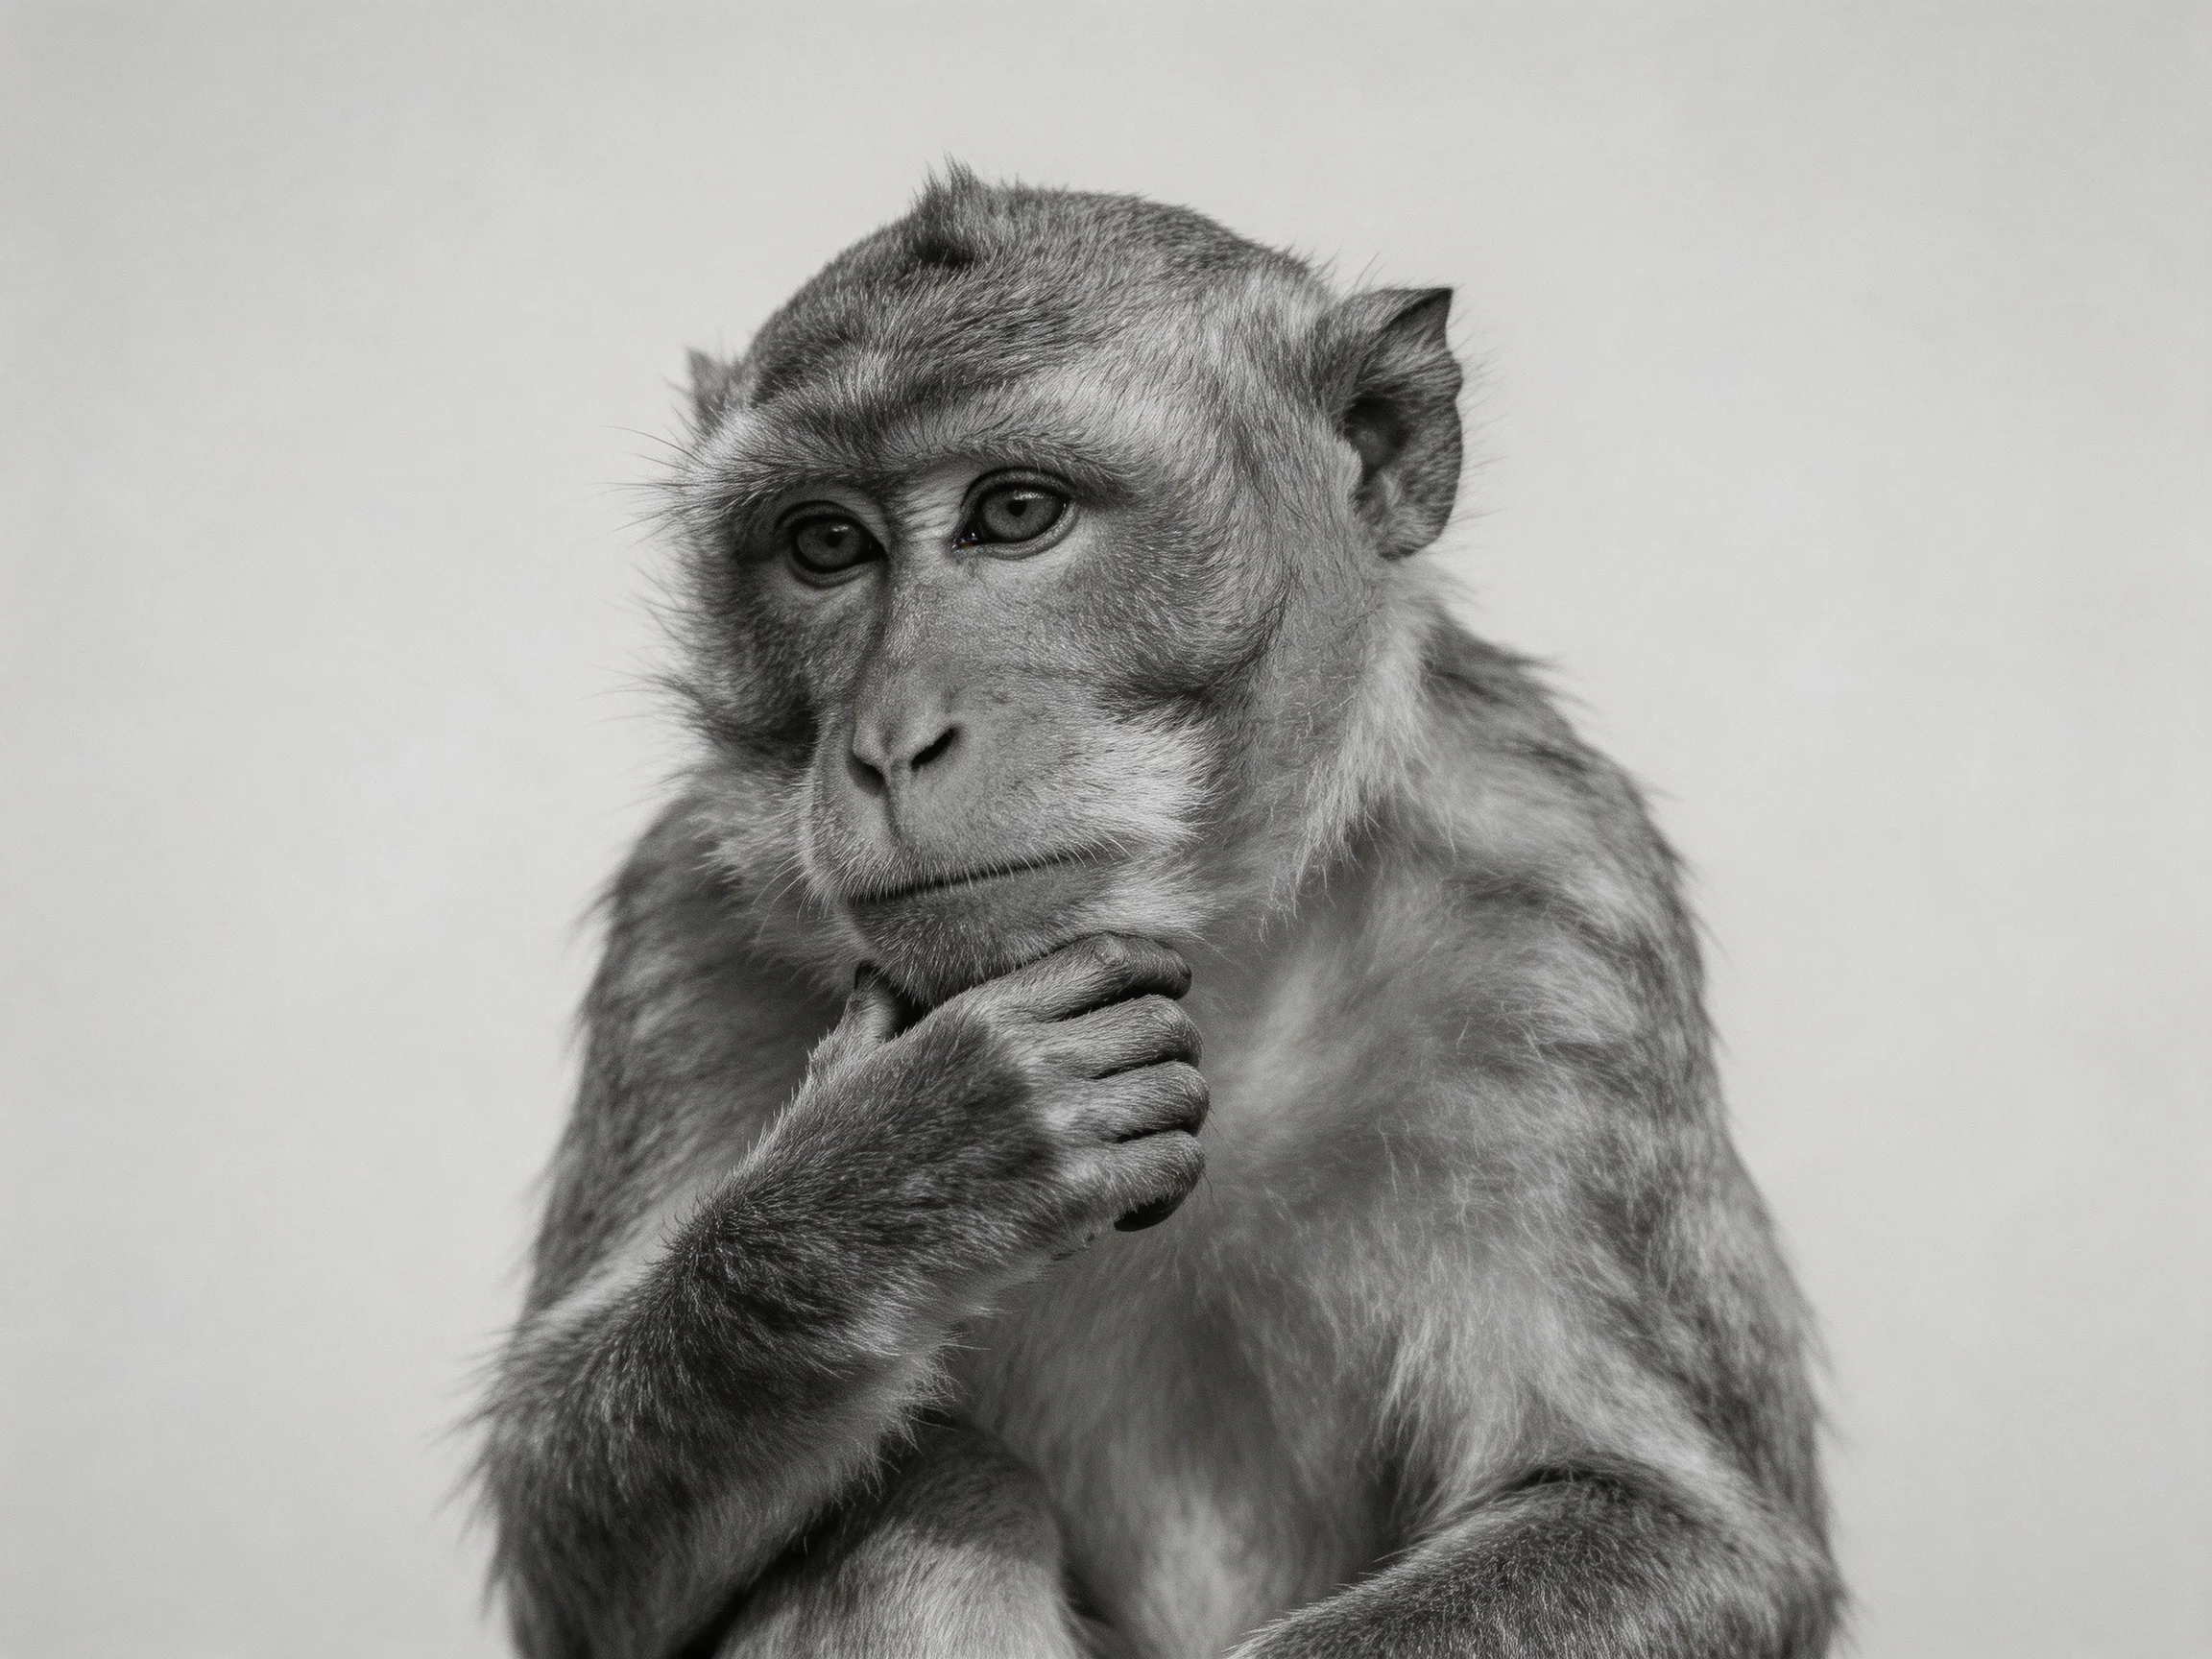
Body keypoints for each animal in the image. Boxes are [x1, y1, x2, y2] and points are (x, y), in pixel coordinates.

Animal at [477, 170, 1841, 1659]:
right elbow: (572, 1553)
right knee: (930, 1499)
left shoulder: (1561, 914)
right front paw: (898, 1172)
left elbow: (1670, 1523)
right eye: (825, 543)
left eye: (1017, 512)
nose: (890, 744)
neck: (1205, 968)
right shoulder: (686, 927)